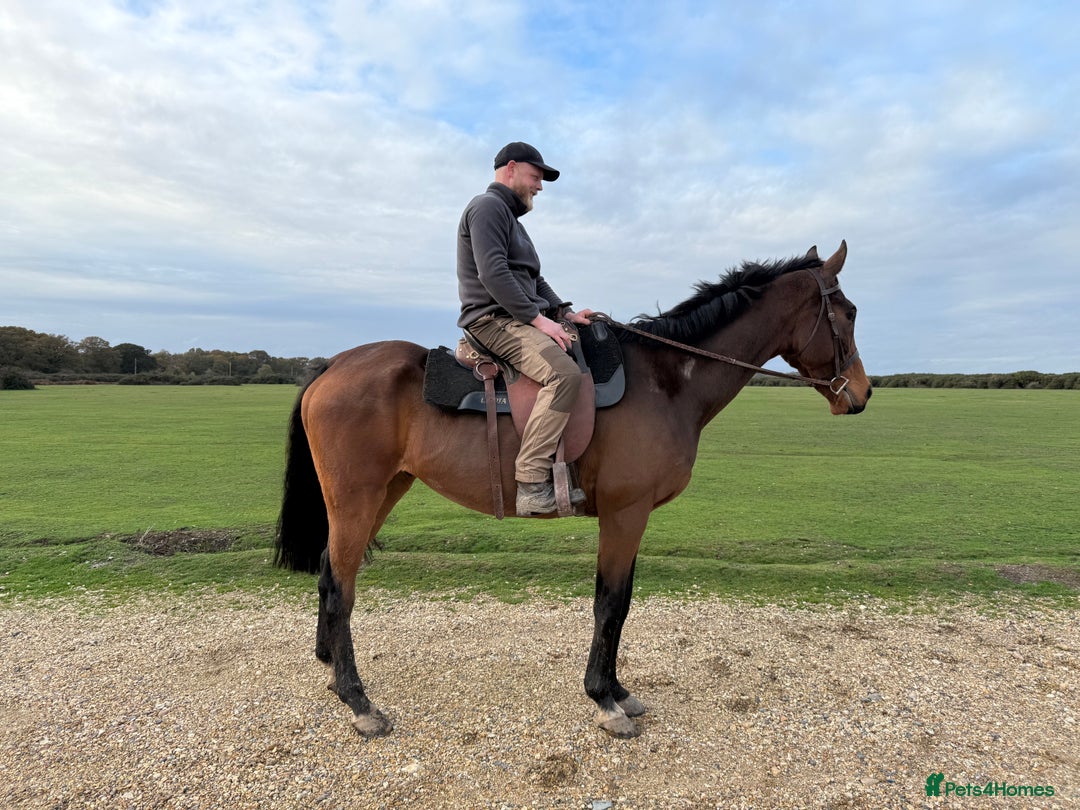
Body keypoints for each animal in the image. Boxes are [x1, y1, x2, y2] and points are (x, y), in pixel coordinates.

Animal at [274, 241, 872, 739]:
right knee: (340, 587)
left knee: (331, 572)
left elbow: (620, 604)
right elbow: (611, 604)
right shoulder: (626, 513)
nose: (862, 394)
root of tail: (334, 364)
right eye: (848, 313)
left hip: (382, 493)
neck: (666, 380)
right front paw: (604, 699)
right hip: (356, 499)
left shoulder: (632, 516)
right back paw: (357, 701)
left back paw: (331, 668)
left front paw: (619, 691)